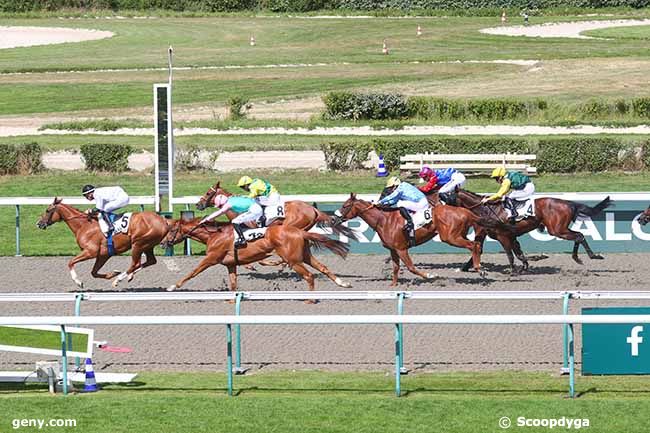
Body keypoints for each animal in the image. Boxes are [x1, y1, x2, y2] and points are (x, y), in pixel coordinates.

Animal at [37, 198, 170, 286]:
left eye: (48, 210)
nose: (39, 224)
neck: (84, 226)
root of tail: (163, 221)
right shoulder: (103, 254)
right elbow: (94, 272)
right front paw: (113, 273)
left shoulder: (90, 252)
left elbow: (70, 262)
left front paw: (78, 281)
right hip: (148, 245)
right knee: (150, 261)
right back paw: (128, 276)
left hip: (138, 244)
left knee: (135, 263)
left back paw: (119, 279)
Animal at [162, 216, 352, 294]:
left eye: (171, 229)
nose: (163, 243)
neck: (213, 235)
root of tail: (300, 231)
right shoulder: (231, 264)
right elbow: (233, 284)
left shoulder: (211, 258)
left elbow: (192, 272)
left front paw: (172, 287)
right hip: (304, 256)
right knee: (322, 267)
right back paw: (343, 283)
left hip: (293, 260)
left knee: (309, 276)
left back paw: (310, 298)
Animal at [332, 193, 494, 284]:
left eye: (345, 206)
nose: (333, 219)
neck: (383, 220)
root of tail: (466, 211)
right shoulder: (393, 249)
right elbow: (396, 268)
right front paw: (393, 286)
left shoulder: (401, 248)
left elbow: (411, 267)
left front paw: (430, 275)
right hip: (458, 234)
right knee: (477, 244)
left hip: (450, 237)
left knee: (473, 245)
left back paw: (479, 269)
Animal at [442, 190, 612, 268]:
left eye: (448, 196)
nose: (442, 209)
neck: (486, 209)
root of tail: (569, 203)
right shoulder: (510, 235)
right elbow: (518, 253)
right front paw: (525, 265)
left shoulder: (503, 236)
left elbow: (510, 254)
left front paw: (514, 270)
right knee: (579, 235)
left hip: (557, 230)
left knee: (579, 236)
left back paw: (589, 256)